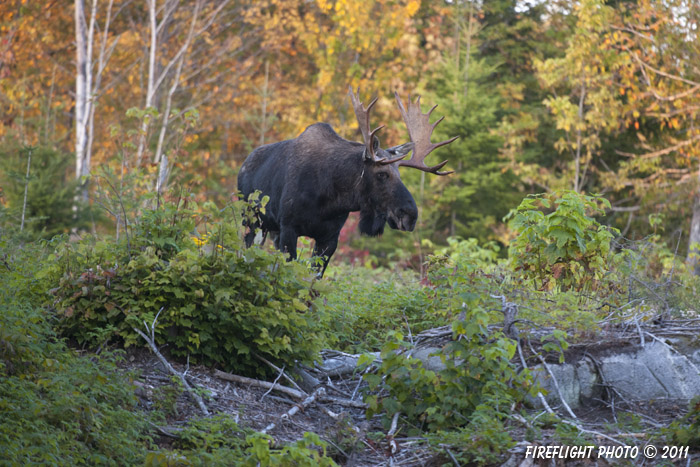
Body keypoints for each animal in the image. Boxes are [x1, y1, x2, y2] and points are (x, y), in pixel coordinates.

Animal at [239, 88, 460, 274]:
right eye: (381, 174)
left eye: (399, 173)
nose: (410, 215)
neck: (329, 199)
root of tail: (244, 163)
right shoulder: (289, 228)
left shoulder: (329, 238)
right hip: (252, 221)